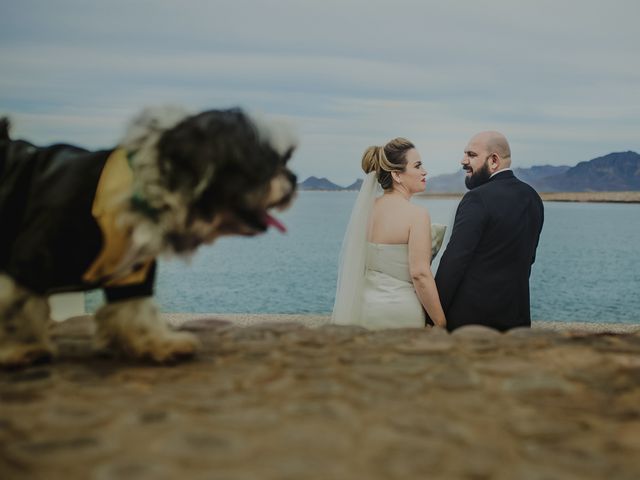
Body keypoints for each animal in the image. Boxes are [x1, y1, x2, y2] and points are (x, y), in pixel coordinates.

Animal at [0, 107, 298, 366]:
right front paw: (23, 347)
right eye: (263, 166)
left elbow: (136, 310)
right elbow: (17, 308)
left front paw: (158, 343)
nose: (294, 179)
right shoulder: (31, 259)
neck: (142, 195)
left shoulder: (133, 274)